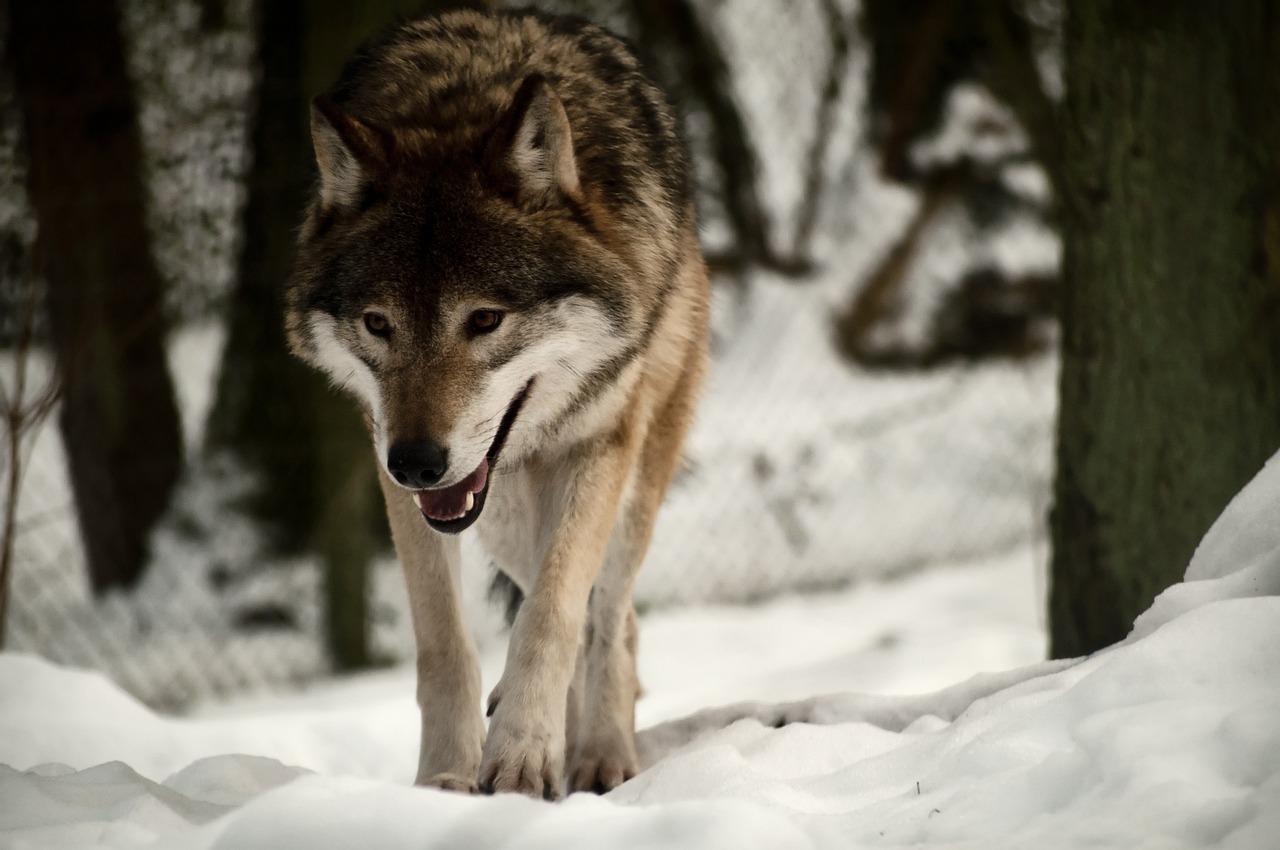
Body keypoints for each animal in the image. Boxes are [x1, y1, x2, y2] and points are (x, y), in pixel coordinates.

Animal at [281, 9, 716, 798]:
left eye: (484, 320)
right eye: (378, 324)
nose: (418, 463)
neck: (464, 98)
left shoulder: (597, 446)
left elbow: (552, 614)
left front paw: (520, 757)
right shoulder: (399, 473)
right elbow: (444, 644)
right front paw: (447, 779)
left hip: (632, 474)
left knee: (611, 614)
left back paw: (602, 755)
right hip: (503, 516)